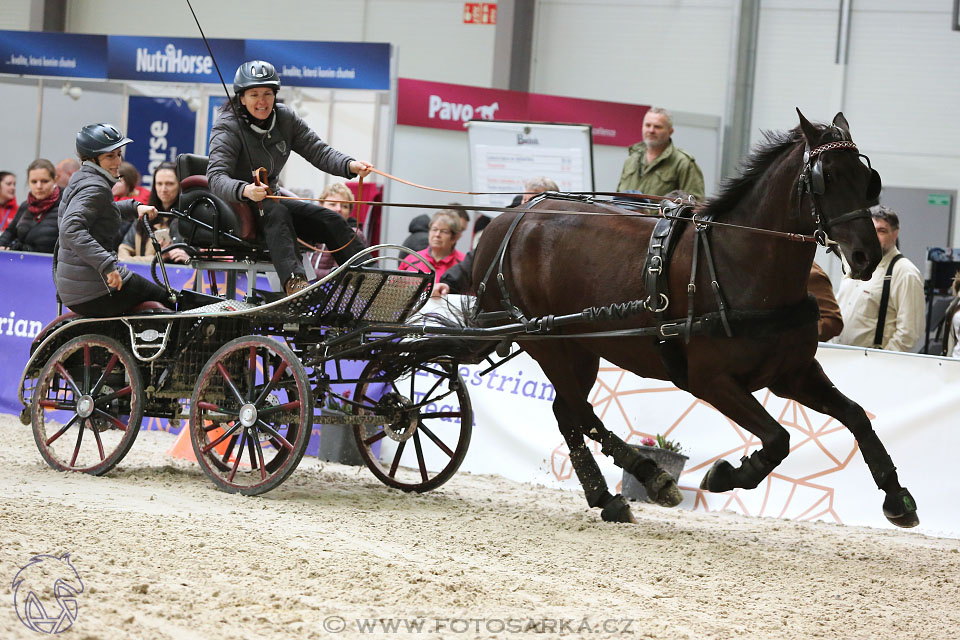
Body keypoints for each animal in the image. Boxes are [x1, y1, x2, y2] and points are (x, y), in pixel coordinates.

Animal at [468, 112, 920, 528]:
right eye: (827, 177)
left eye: (866, 178)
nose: (866, 255)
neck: (741, 261)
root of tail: (509, 219)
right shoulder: (711, 380)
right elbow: (778, 438)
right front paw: (726, 474)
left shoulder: (792, 374)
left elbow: (855, 416)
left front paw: (896, 497)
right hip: (545, 342)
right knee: (580, 412)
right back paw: (649, 478)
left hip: (580, 346)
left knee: (568, 411)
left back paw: (612, 496)